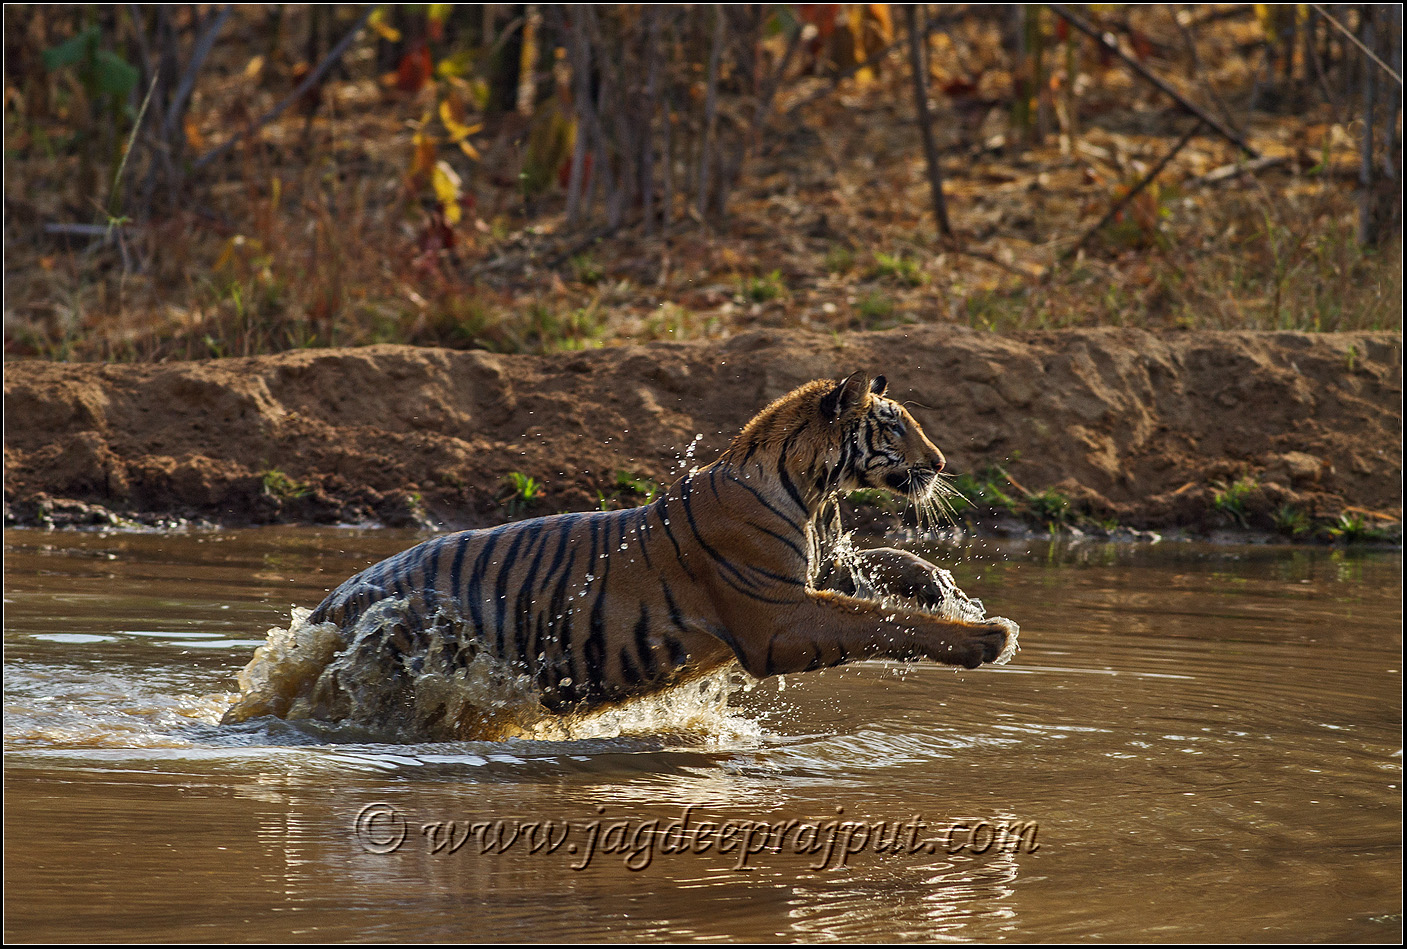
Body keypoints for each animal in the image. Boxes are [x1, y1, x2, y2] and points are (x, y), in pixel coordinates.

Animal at [221, 371, 1018, 738]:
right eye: (896, 426)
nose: (941, 462)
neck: (813, 488)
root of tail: (335, 600)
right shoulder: (777, 617)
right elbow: (878, 623)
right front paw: (987, 635)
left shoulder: (812, 573)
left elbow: (884, 567)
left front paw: (942, 583)